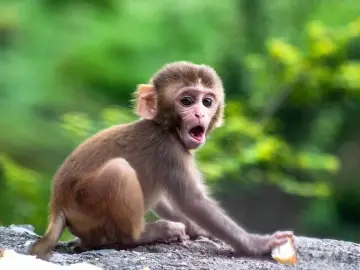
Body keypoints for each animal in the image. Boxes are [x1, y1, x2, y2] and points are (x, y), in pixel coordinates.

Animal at [28, 61, 292, 260]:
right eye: (187, 101)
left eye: (207, 102)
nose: (200, 114)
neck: (166, 128)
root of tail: (58, 206)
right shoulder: (170, 151)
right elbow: (192, 201)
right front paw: (257, 244)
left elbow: (167, 200)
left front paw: (197, 229)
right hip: (87, 206)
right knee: (119, 171)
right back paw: (144, 235)